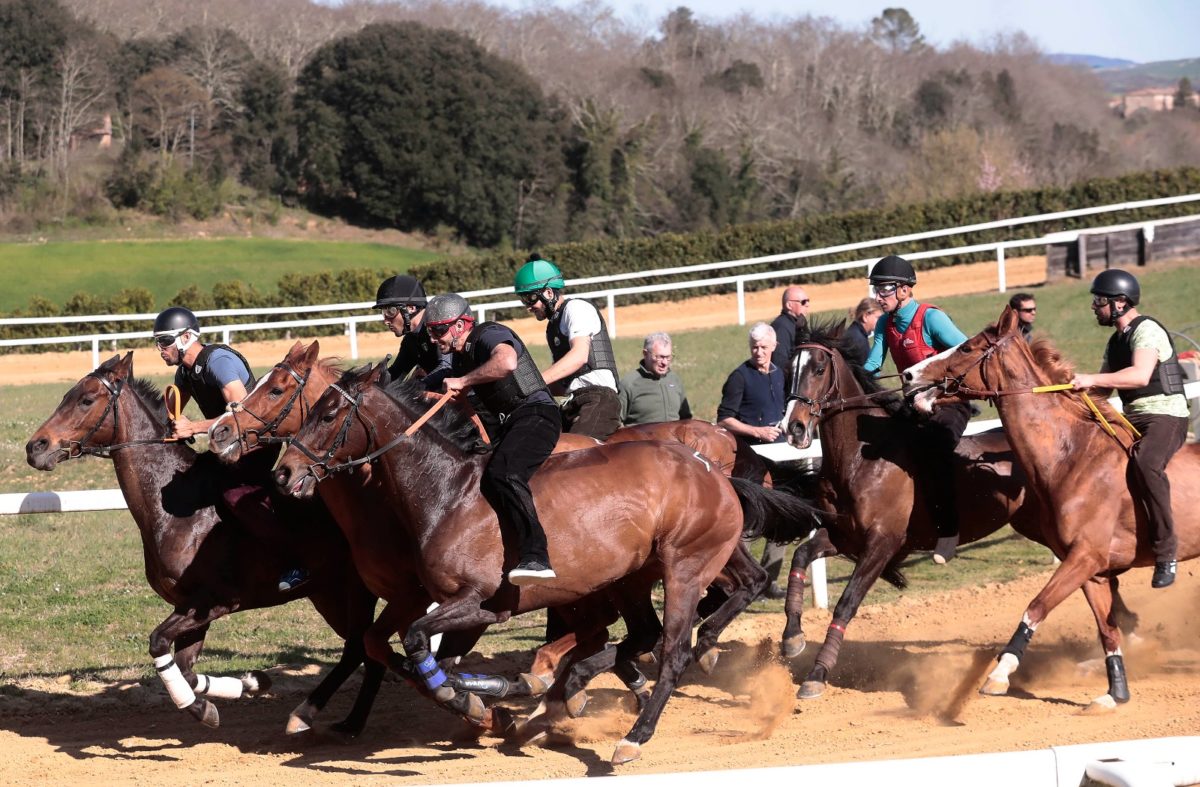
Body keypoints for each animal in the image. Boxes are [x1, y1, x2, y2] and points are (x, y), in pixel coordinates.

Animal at [24, 352, 384, 734]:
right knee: (368, 650)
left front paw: (199, 707)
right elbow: (186, 670)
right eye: (67, 395)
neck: (175, 505)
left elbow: (158, 644)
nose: (35, 447)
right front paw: (249, 683)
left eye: (87, 399)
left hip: (356, 590)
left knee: (362, 649)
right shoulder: (190, 608)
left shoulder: (212, 601)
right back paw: (347, 721)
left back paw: (327, 718)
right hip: (329, 595)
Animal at [267, 362, 820, 763]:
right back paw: (560, 698)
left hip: (684, 566)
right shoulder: (444, 601)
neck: (447, 492)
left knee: (673, 648)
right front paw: (490, 697)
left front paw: (480, 698)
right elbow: (402, 652)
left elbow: (419, 644)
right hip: (632, 576)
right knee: (646, 632)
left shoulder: (476, 601)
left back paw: (633, 734)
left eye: (328, 414)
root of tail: (715, 471)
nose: (284, 472)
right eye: (310, 409)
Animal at [777, 319, 1104, 700]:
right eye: (788, 371)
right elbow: (800, 557)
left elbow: (847, 602)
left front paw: (817, 673)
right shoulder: (844, 537)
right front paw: (792, 637)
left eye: (818, 369)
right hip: (1035, 525)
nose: (793, 428)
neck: (858, 461)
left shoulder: (882, 543)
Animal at [902, 304, 1195, 710]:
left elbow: (1036, 606)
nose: (908, 375)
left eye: (967, 347)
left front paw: (999, 673)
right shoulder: (1092, 571)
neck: (1072, 457)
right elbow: (1107, 629)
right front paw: (1115, 693)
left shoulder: (1083, 558)